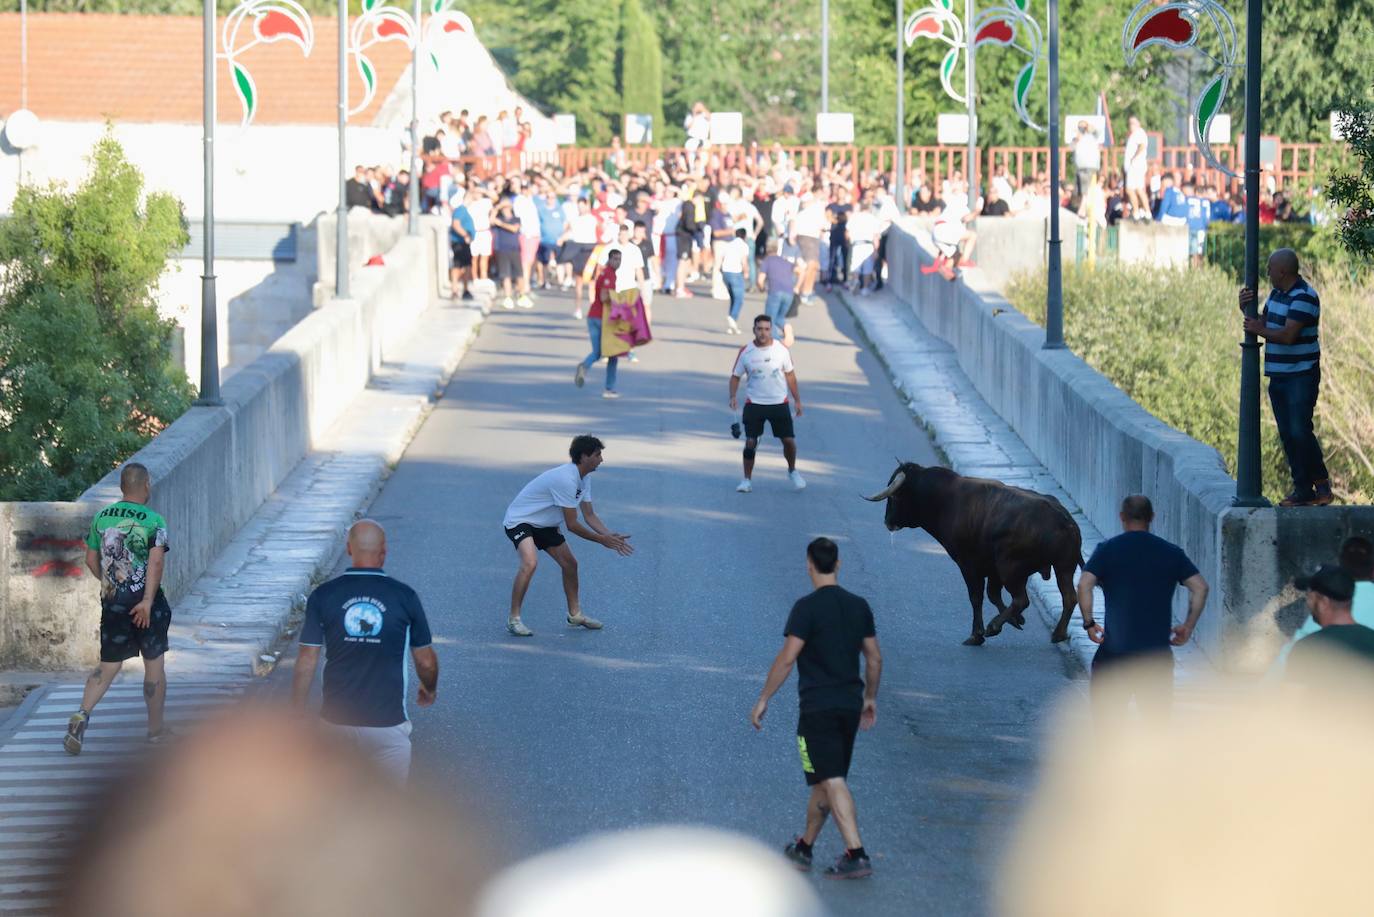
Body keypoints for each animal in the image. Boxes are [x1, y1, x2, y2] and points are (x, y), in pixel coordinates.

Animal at [868, 467, 1082, 646]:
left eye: (894, 497)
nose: (887, 521)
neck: (945, 500)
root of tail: (1063, 519)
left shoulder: (968, 564)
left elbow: (976, 597)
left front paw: (976, 635)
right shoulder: (992, 570)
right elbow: (993, 595)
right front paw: (1016, 620)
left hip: (1011, 568)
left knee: (1022, 599)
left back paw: (994, 626)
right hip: (1063, 567)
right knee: (1069, 597)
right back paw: (1058, 634)